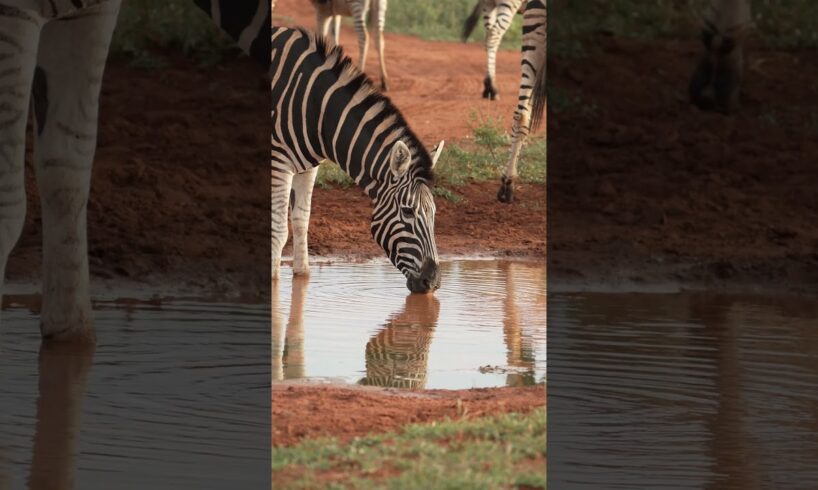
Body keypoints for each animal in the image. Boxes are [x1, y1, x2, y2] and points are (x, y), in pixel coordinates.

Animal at [270, 26, 444, 292]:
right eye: (407, 212)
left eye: (433, 212)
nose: (432, 282)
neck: (317, 110)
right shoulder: (280, 162)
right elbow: (279, 229)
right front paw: (272, 279)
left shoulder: (308, 167)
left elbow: (301, 219)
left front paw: (302, 275)